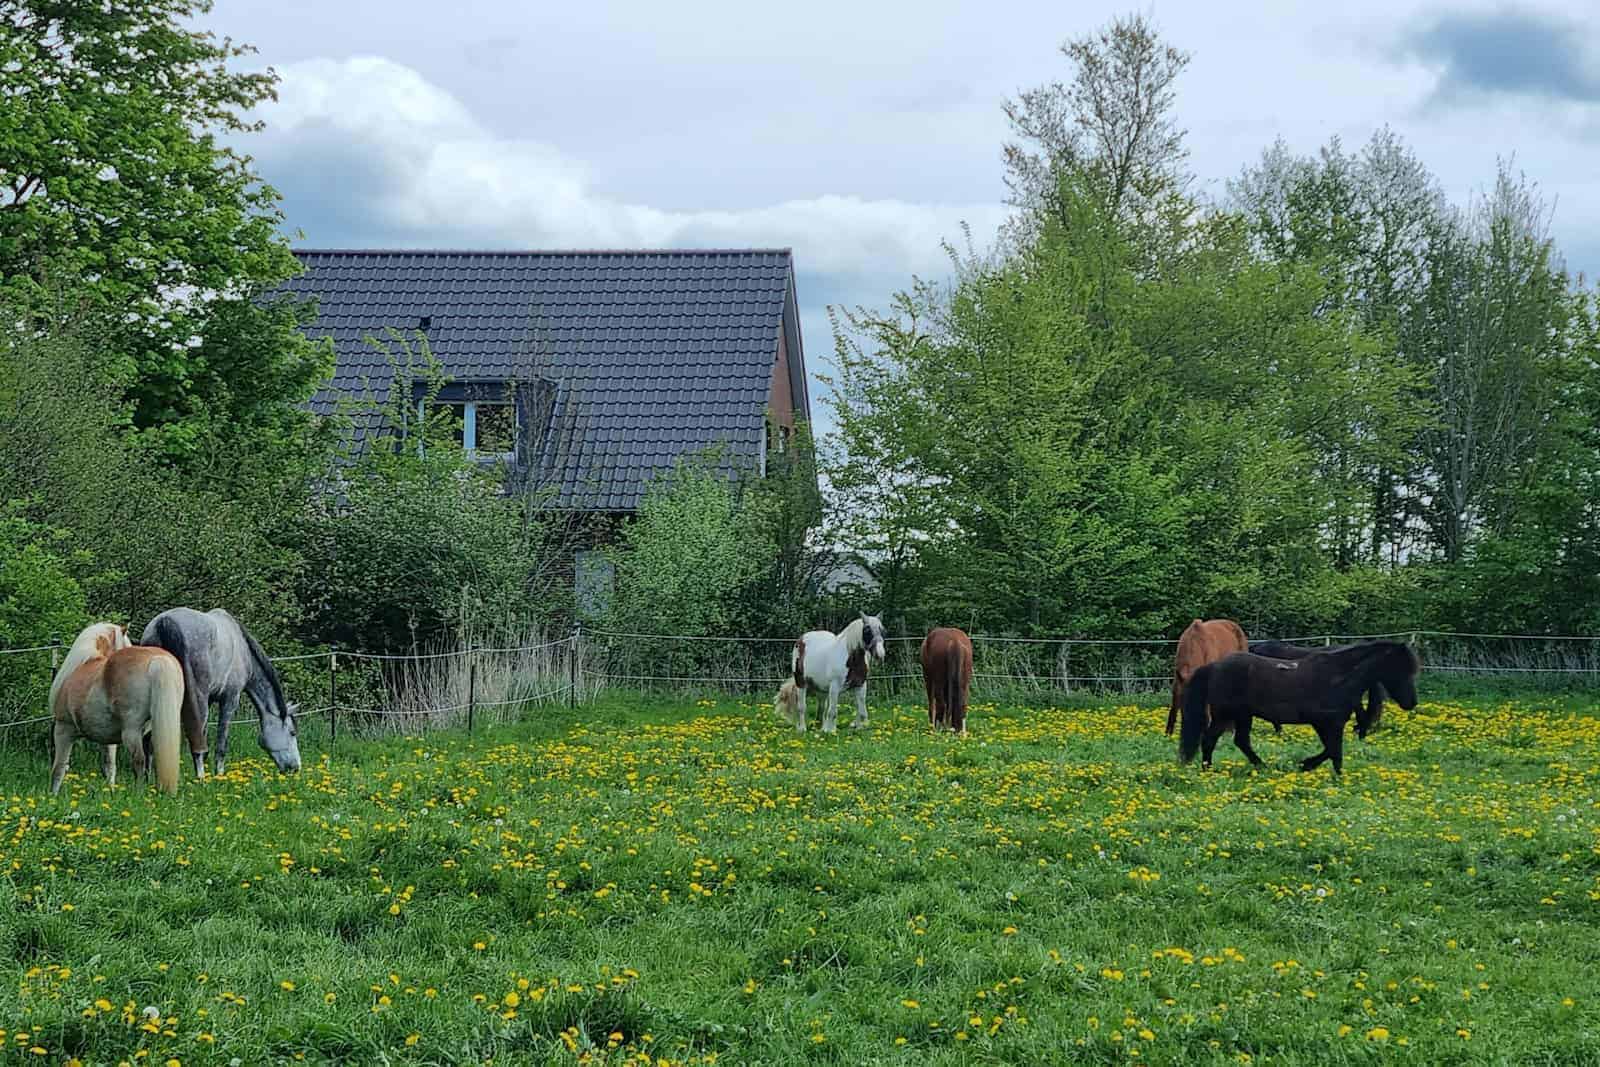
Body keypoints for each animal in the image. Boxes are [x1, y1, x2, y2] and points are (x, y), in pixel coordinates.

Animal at [49, 623, 184, 795]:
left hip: (131, 733)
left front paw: (52, 796)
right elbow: (109, 766)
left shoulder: (63, 730)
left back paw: (138, 794)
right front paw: (110, 792)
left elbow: (58, 768)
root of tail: (157, 660)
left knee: (139, 761)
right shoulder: (107, 739)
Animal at [140, 607, 301, 778]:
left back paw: (149, 779)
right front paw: (219, 776)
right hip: (198, 701)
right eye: (292, 732)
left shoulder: (210, 700)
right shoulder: (229, 700)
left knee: (149, 740)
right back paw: (201, 779)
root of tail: (164, 622)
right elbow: (221, 745)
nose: (296, 768)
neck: (242, 647)